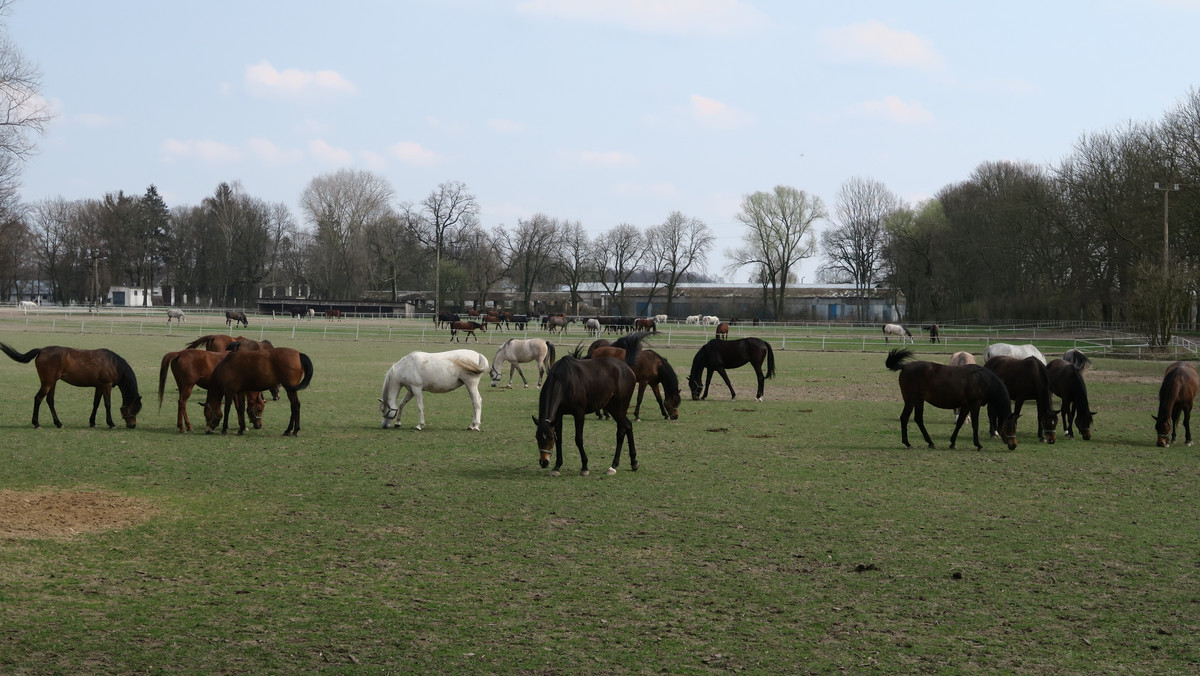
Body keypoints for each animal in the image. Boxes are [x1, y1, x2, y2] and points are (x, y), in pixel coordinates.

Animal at [0, 343, 143, 427]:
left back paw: (58, 423)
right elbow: (107, 404)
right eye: (134, 409)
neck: (114, 364)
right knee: (38, 398)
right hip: (48, 382)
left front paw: (92, 422)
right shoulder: (106, 386)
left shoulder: (99, 386)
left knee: (50, 400)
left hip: (52, 383)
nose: (132, 425)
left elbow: (96, 404)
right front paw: (111, 423)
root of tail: (41, 350)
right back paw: (36, 423)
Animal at [888, 345, 1017, 451]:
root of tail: (905, 366)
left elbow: (959, 422)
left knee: (918, 419)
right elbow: (975, 424)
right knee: (904, 418)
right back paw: (907, 443)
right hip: (910, 400)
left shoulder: (966, 406)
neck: (983, 380)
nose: (1014, 445)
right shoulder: (974, 405)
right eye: (1008, 426)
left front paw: (953, 443)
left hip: (919, 400)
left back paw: (930, 442)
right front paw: (978, 445)